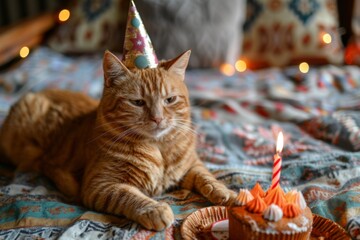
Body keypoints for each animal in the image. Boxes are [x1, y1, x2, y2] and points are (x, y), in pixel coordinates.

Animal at [0, 50, 236, 231]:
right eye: (138, 102)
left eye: (169, 100)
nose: (158, 118)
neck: (158, 149)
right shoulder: (100, 185)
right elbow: (128, 196)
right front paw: (155, 209)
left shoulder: (190, 165)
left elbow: (207, 177)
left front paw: (226, 193)